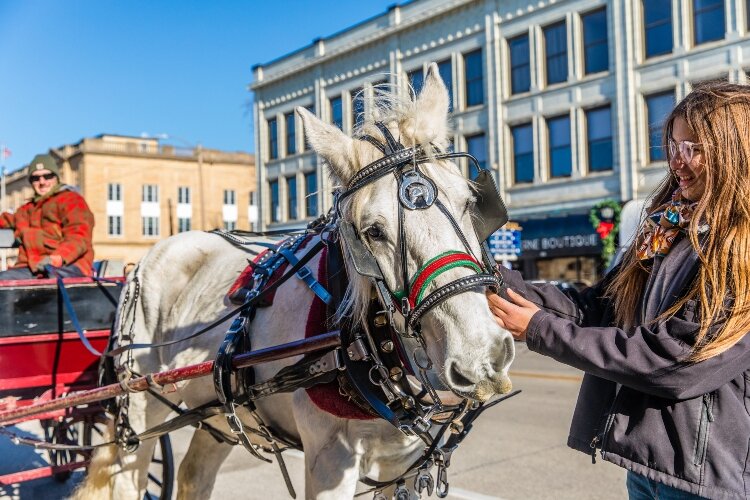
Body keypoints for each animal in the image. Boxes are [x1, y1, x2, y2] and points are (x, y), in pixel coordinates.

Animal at [74, 63, 515, 499]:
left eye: (469, 203)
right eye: (372, 231)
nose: (481, 356)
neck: (364, 342)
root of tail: (141, 263)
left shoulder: (402, 467)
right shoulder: (330, 461)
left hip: (217, 414)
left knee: (194, 474)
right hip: (140, 408)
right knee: (129, 477)